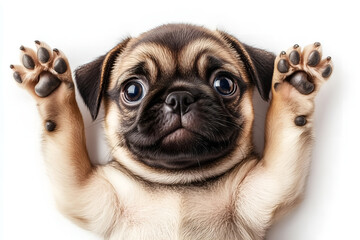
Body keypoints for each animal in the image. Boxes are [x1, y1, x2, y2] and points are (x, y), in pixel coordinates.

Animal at [9, 23, 334, 239]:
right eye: (133, 90)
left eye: (224, 84)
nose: (179, 97)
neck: (178, 183)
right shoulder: (85, 191)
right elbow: (66, 131)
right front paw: (50, 86)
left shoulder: (268, 185)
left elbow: (285, 125)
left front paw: (294, 86)